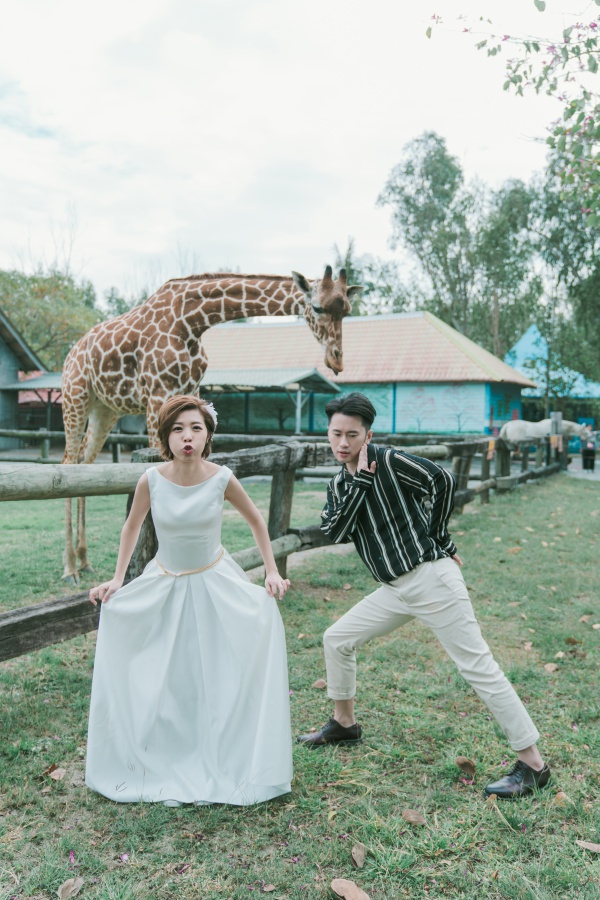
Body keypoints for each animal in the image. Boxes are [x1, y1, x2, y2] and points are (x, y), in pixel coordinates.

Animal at [61, 266, 360, 584]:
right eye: (317, 307)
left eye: (347, 310)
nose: (336, 361)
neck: (192, 321)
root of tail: (71, 353)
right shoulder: (156, 394)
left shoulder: (189, 390)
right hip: (75, 396)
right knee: (68, 463)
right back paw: (70, 568)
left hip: (105, 409)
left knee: (85, 462)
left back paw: (84, 560)